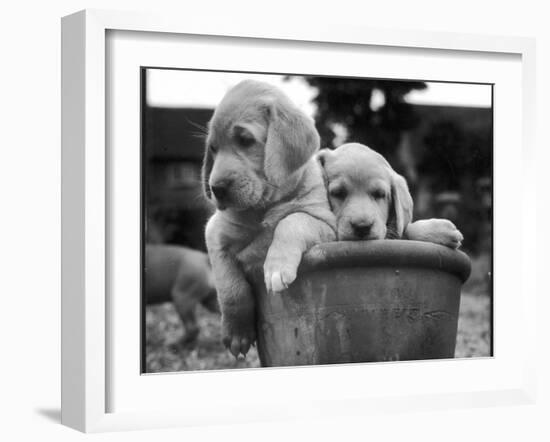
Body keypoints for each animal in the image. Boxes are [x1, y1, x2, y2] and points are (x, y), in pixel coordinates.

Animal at [204, 78, 336, 356]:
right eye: (213, 149)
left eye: (245, 140)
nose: (216, 188)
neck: (263, 207)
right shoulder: (214, 232)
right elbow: (229, 286)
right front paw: (237, 331)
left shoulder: (325, 223)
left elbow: (291, 221)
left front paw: (276, 267)